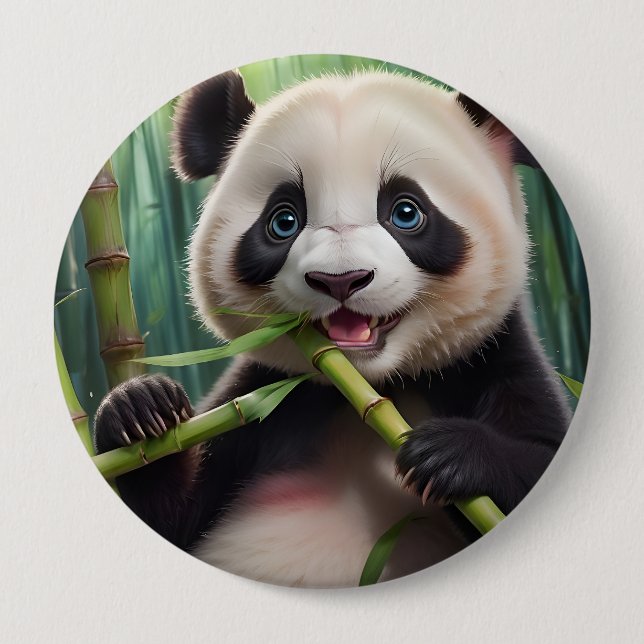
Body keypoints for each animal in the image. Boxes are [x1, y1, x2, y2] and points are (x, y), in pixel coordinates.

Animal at [94, 69, 571, 587]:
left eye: (406, 212)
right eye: (283, 220)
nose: (340, 279)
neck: (373, 387)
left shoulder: (489, 359)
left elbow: (538, 455)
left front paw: (446, 455)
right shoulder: (266, 400)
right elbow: (170, 515)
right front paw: (141, 408)